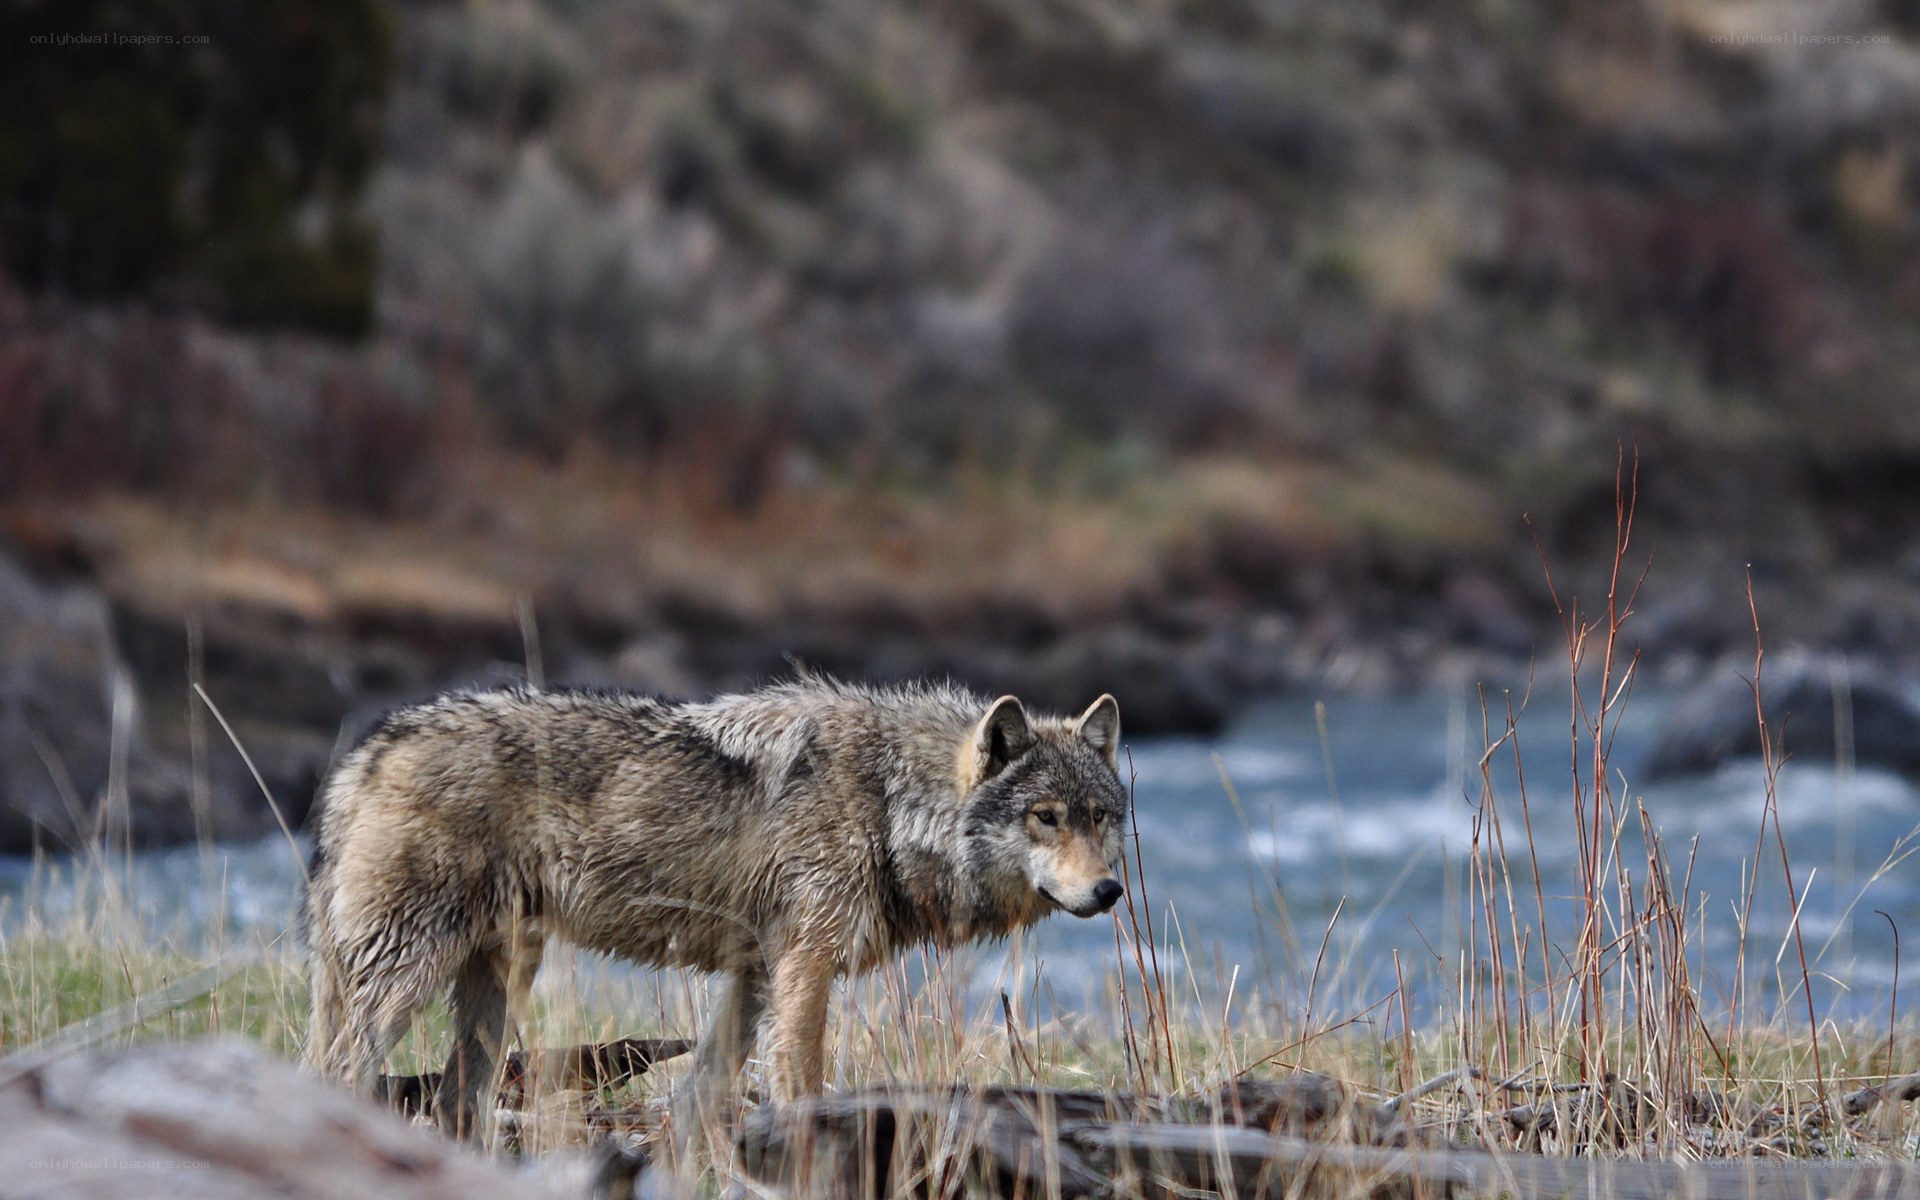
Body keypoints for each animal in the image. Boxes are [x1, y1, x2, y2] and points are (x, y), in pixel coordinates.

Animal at [301, 677, 1128, 1140]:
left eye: (1101, 817)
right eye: (1046, 818)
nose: (1109, 892)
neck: (891, 803)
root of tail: (367, 754)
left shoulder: (755, 977)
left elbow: (699, 1100)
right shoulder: (804, 968)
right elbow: (800, 1087)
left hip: (495, 986)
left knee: (450, 1105)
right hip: (408, 978)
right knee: (338, 1075)